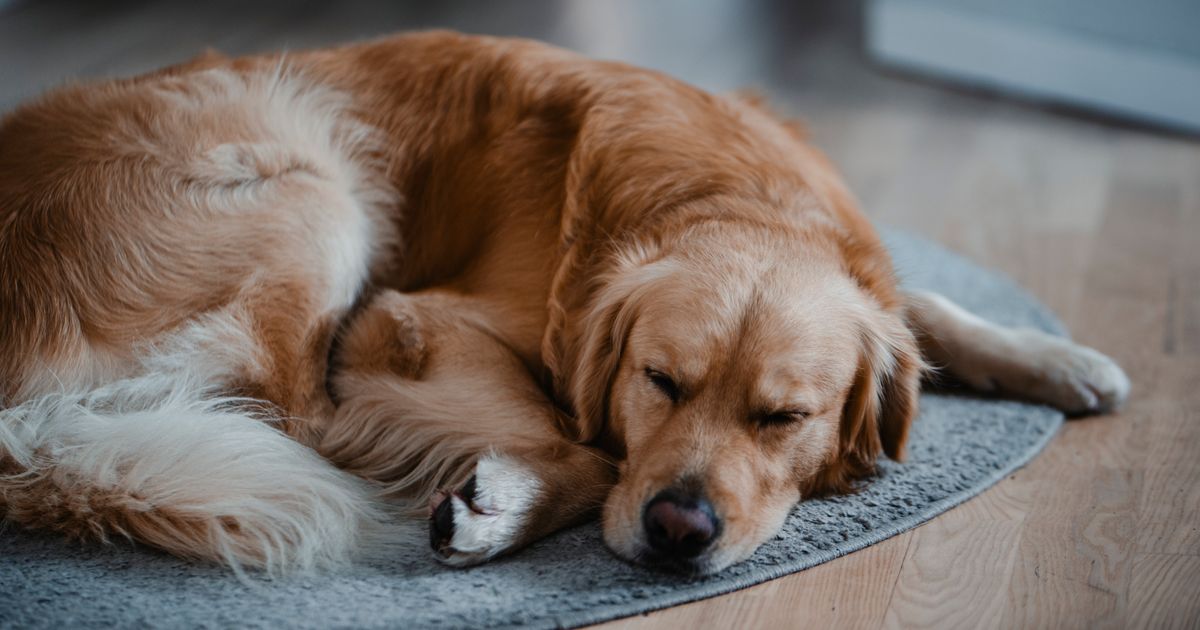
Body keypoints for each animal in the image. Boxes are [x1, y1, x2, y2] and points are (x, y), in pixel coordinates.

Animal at [0, 33, 1123, 573]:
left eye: (783, 417)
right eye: (657, 382)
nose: (679, 529)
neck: (734, 194)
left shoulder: (870, 284)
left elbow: (922, 307)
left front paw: (1059, 360)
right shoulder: (417, 317)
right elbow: (587, 446)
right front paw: (503, 503)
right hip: (311, 189)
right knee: (305, 416)